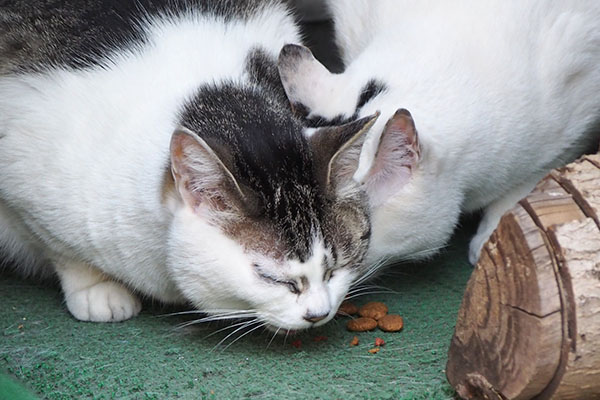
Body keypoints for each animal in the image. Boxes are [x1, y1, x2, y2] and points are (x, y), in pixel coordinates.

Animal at [0, 0, 404, 332]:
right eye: (270, 277)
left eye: (336, 267)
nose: (318, 314)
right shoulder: (27, 186)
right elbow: (62, 250)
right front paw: (96, 288)